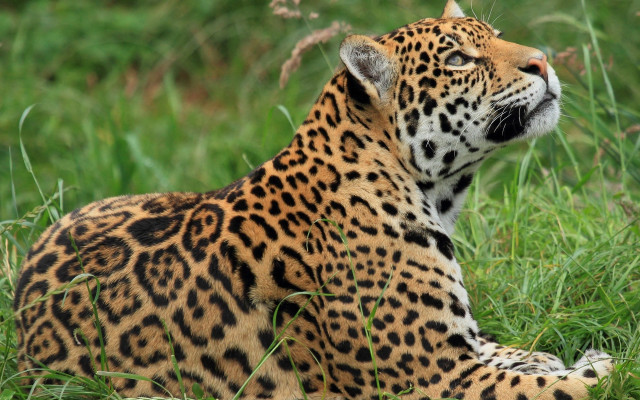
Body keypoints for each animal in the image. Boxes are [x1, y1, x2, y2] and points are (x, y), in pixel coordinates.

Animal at [14, 1, 613, 399]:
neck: (434, 193)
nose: (542, 62)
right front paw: (602, 365)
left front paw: (548, 358)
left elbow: (513, 352)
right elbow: (570, 390)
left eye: (498, 35)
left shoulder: (460, 352)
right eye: (459, 60)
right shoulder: (439, 379)